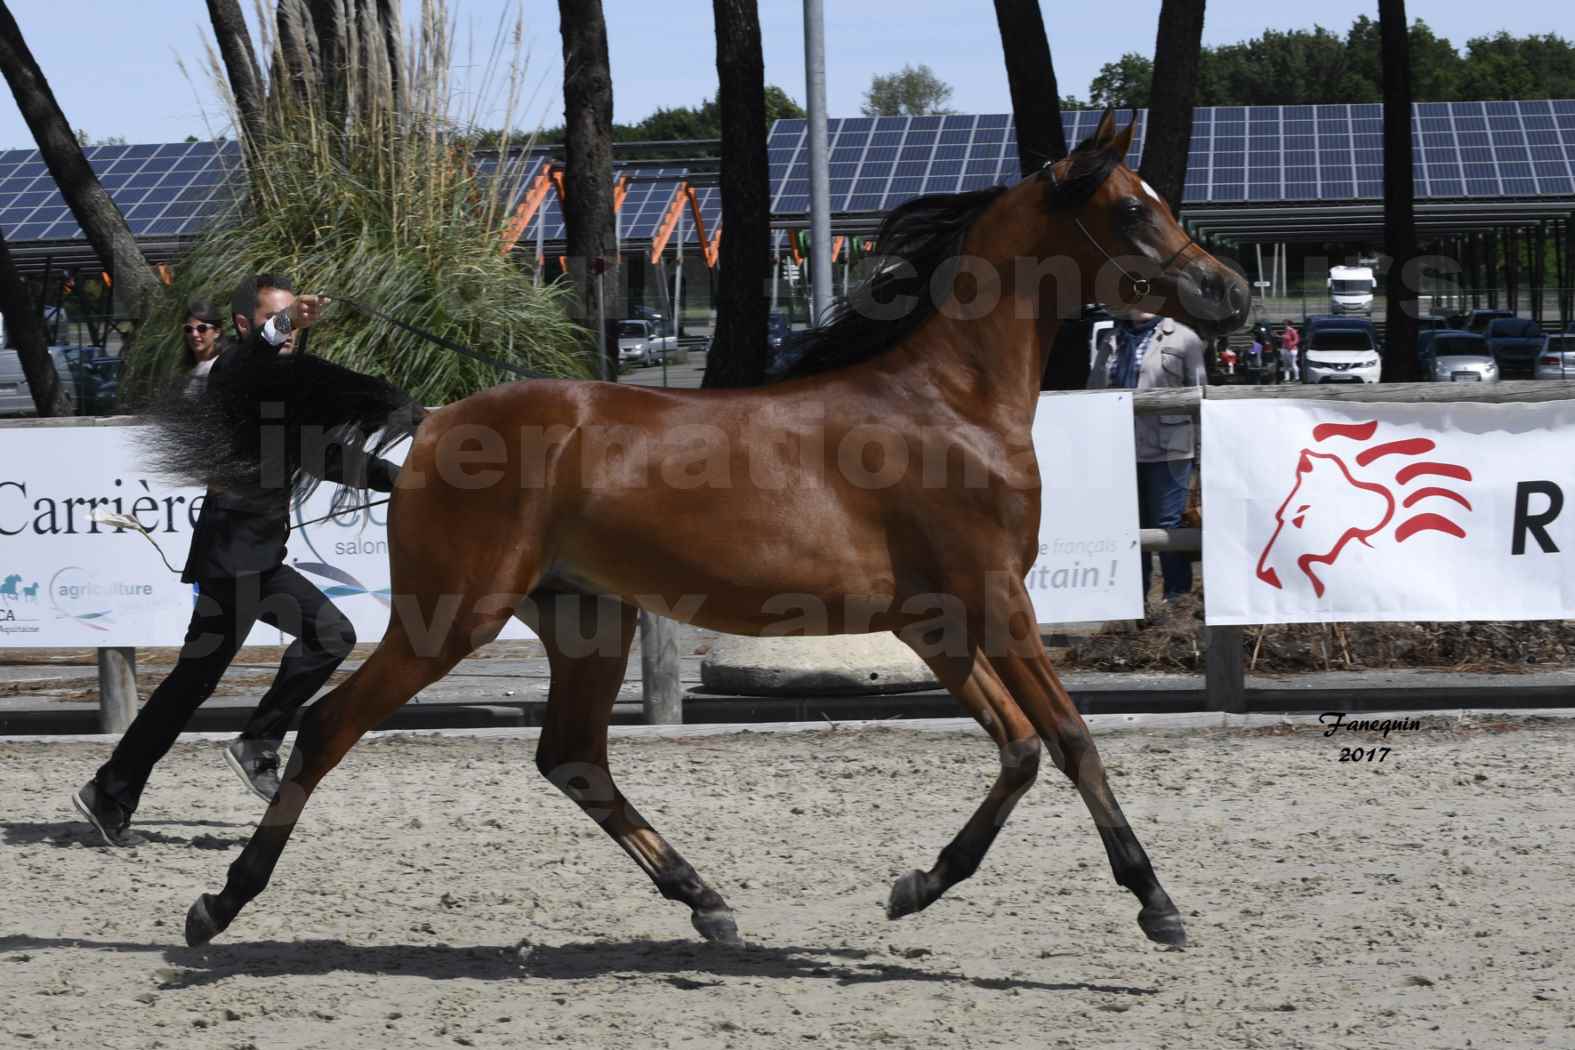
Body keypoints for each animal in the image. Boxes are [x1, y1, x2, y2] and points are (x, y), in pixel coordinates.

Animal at [178, 113, 1247, 950]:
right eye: (1131, 209)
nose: (1229, 292)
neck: (949, 404)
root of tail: (435, 420)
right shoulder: (992, 600)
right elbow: (1068, 737)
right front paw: (1155, 903)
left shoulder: (935, 622)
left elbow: (1018, 749)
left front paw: (913, 888)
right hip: (452, 617)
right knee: (328, 730)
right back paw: (217, 906)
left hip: (585, 620)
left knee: (572, 757)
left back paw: (706, 901)